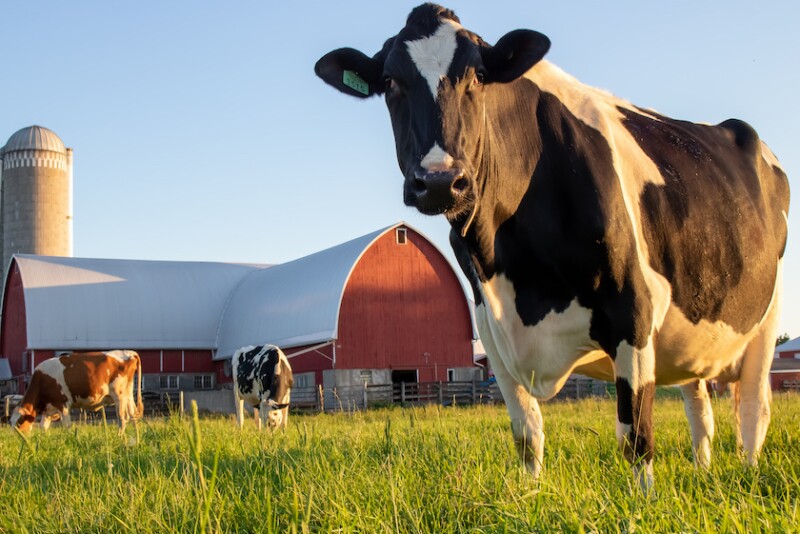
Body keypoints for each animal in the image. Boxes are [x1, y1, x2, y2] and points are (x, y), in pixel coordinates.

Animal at [11, 350, 143, 433]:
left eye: (19, 422)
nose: (19, 439)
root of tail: (129, 352)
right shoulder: (48, 409)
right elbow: (43, 427)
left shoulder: (62, 404)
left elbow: (67, 425)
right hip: (128, 394)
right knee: (133, 416)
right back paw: (136, 440)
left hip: (119, 395)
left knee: (123, 418)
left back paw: (120, 438)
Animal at [315, 4, 790, 489]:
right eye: (390, 82)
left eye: (479, 76)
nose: (440, 180)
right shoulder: (491, 329)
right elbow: (527, 433)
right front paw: (529, 494)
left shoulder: (632, 310)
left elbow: (636, 437)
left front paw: (644, 499)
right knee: (700, 407)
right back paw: (702, 469)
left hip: (766, 320)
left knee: (753, 410)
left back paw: (748, 472)